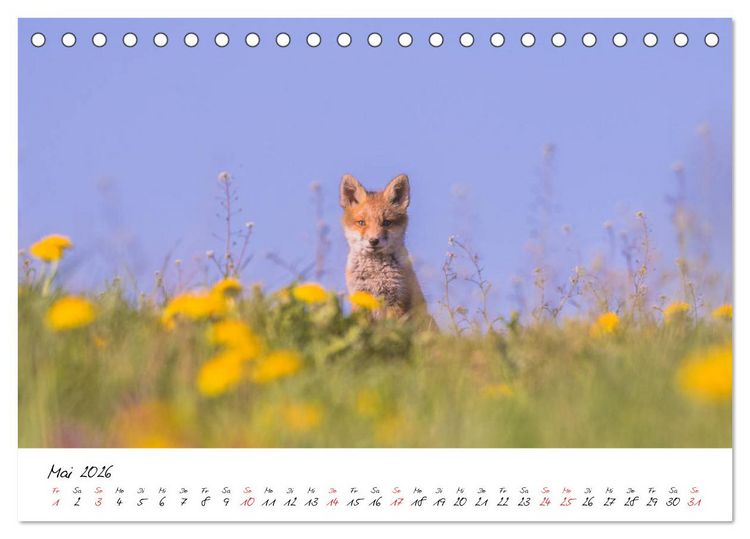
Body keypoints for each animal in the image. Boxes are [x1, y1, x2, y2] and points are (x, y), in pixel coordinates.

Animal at [339, 173, 434, 326]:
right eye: (361, 223)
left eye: (386, 222)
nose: (373, 241)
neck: (375, 273)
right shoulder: (360, 298)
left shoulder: (396, 300)